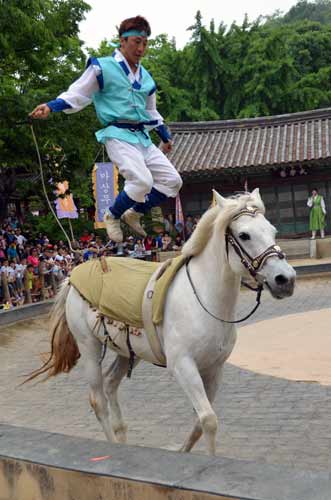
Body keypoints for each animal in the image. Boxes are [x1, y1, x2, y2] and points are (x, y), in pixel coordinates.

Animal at [29, 189, 296, 456]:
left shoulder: (214, 368)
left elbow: (200, 421)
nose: (285, 279)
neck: (203, 298)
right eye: (244, 235)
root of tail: (74, 276)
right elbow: (209, 419)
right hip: (88, 346)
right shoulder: (183, 365)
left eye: (272, 230)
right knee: (98, 400)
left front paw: (182, 450)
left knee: (111, 384)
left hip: (127, 352)